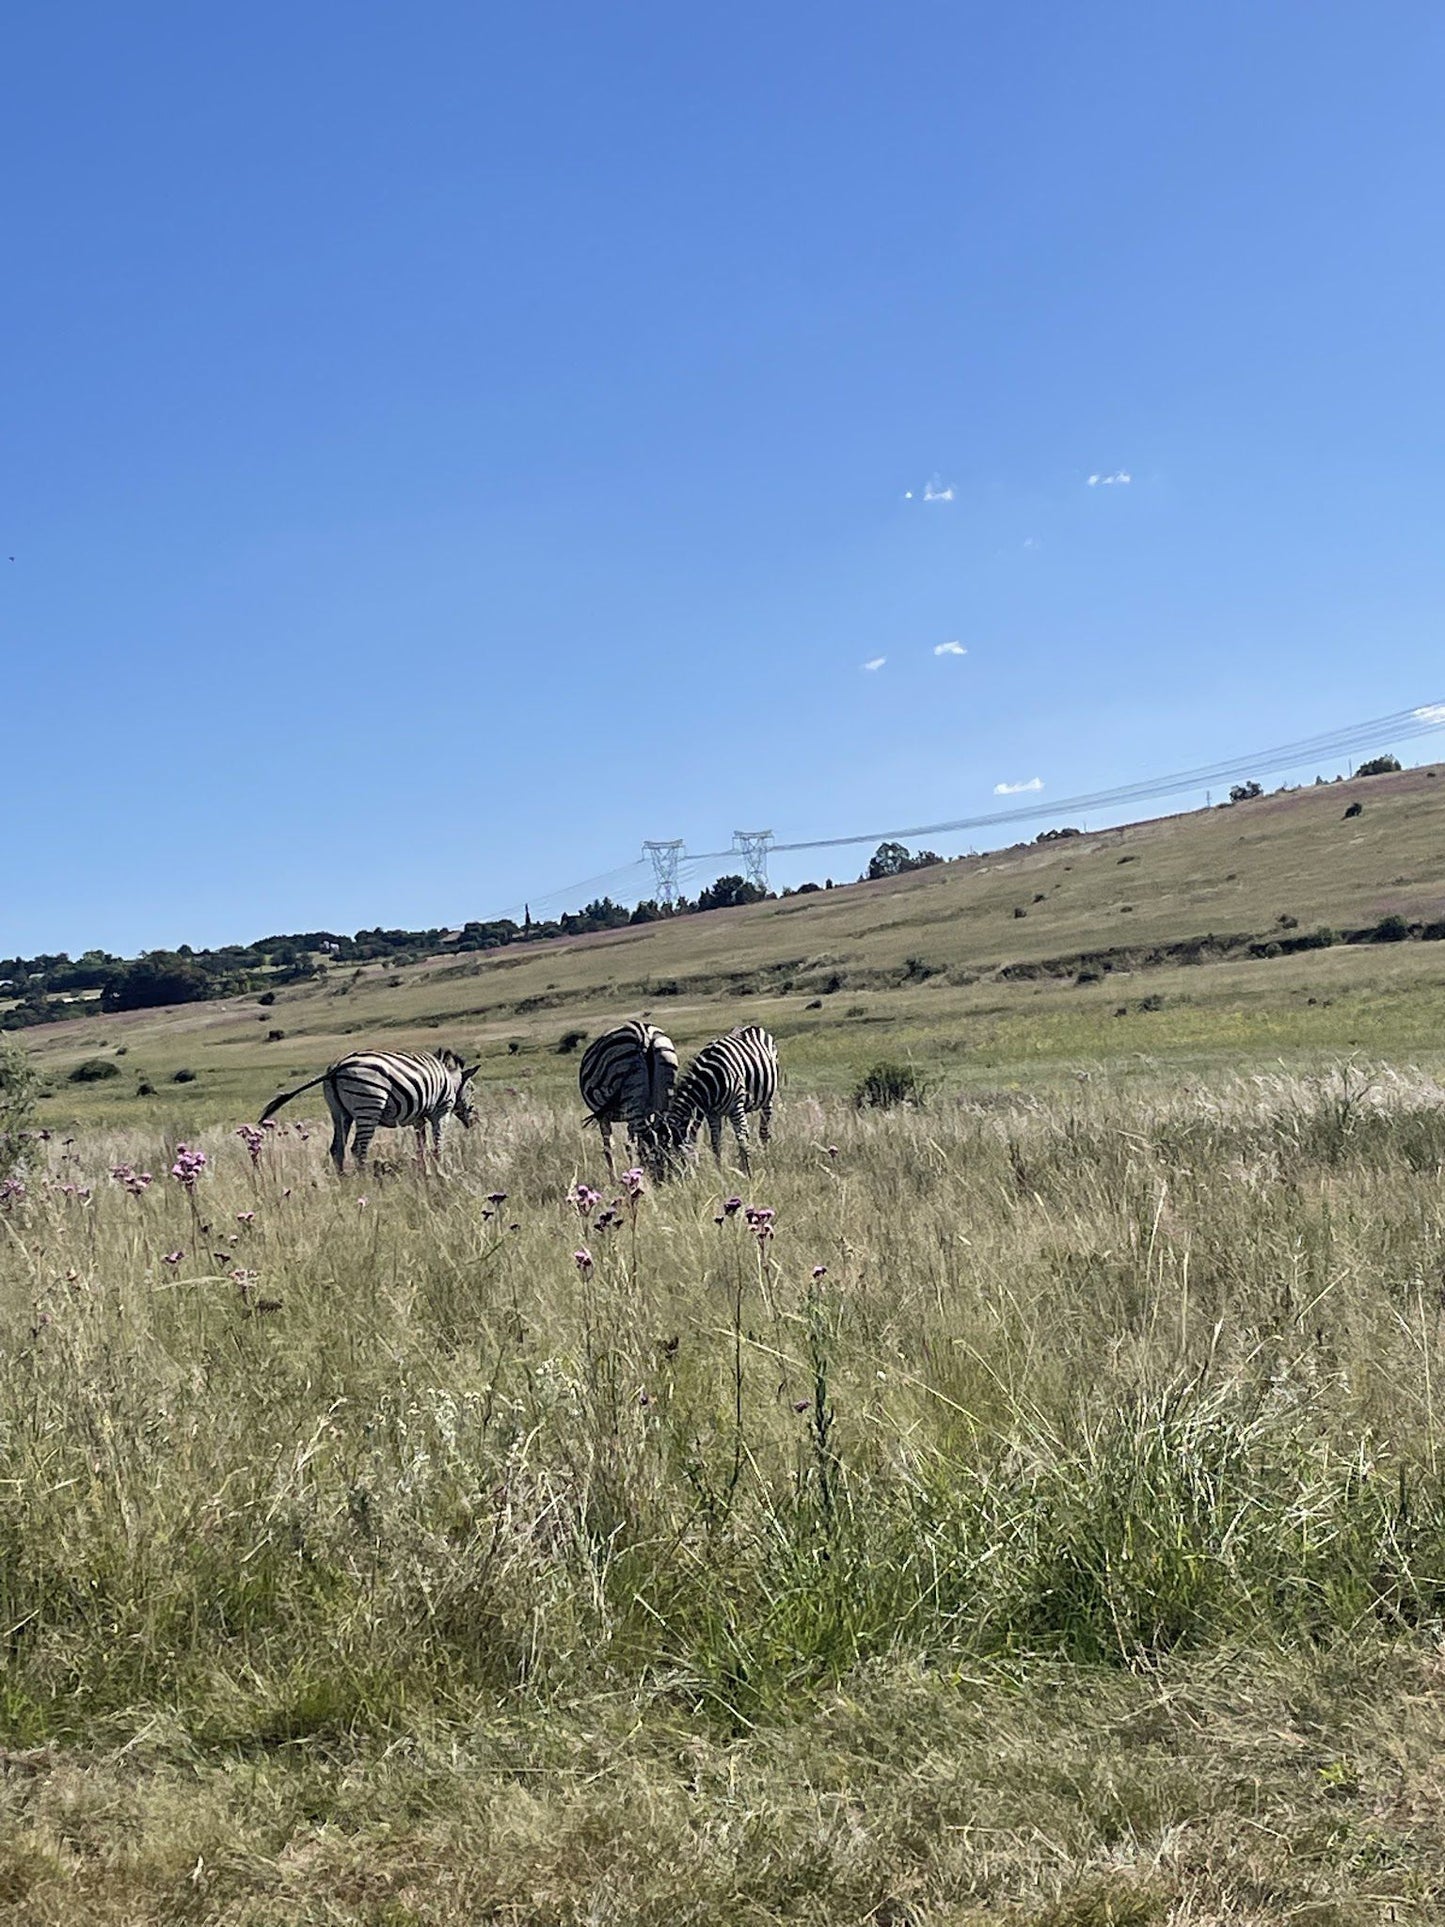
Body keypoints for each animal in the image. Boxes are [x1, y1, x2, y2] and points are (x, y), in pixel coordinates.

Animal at [258, 1055, 481, 1171]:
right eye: (472, 1089)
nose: (476, 1122)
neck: (451, 1082)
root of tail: (336, 1068)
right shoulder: (440, 1112)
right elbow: (438, 1143)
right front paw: (440, 1170)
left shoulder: (418, 1119)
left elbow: (421, 1146)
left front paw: (424, 1169)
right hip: (369, 1108)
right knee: (358, 1149)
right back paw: (365, 1183)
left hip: (340, 1113)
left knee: (337, 1149)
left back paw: (346, 1184)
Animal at [581, 1025, 682, 1171]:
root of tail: (644, 1035)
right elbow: (636, 1144)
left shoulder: (603, 1116)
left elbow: (609, 1147)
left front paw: (614, 1176)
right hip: (663, 1096)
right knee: (663, 1133)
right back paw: (668, 1170)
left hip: (632, 1099)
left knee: (650, 1136)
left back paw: (659, 1173)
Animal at [666, 1025, 782, 1171]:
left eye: (680, 1156)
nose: (673, 1175)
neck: (709, 1082)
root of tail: (751, 1027)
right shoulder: (712, 1113)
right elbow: (716, 1142)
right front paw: (720, 1170)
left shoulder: (736, 1107)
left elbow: (743, 1141)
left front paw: (748, 1173)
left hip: (766, 1099)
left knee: (762, 1131)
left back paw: (765, 1158)